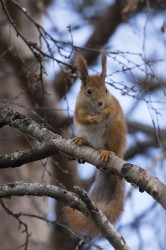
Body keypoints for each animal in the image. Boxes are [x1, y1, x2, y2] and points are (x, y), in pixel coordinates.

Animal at [64, 50, 126, 236]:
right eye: (88, 91)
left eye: (106, 89)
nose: (100, 103)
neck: (94, 109)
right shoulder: (78, 109)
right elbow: (81, 117)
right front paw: (91, 119)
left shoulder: (113, 103)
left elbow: (110, 110)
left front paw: (102, 114)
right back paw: (81, 140)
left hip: (115, 132)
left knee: (113, 148)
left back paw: (109, 152)